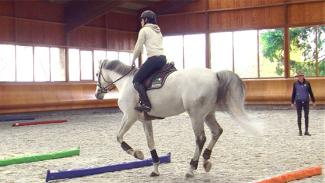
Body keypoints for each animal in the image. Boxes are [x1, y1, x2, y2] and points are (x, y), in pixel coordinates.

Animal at [94, 59, 258, 178]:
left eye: (96, 74)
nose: (97, 94)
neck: (127, 82)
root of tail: (214, 75)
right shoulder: (145, 120)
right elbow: (150, 142)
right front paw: (155, 169)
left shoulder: (129, 116)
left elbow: (119, 136)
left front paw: (137, 154)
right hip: (208, 114)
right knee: (217, 131)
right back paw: (206, 161)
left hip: (196, 115)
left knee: (200, 139)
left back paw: (191, 168)